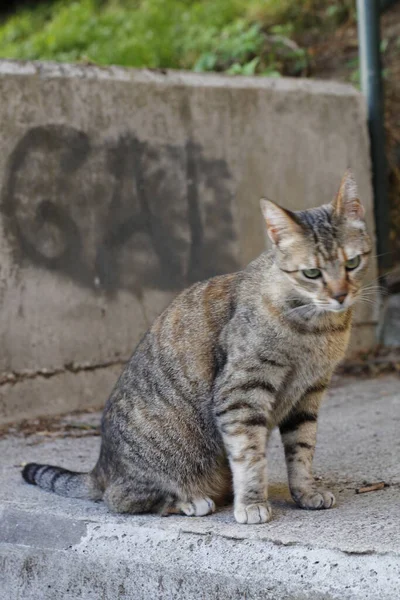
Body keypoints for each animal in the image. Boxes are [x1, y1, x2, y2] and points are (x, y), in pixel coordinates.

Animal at [21, 170, 372, 524]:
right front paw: (252, 503)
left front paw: (305, 493)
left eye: (352, 263)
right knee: (121, 499)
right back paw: (191, 501)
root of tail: (100, 467)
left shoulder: (308, 394)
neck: (319, 326)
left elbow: (302, 449)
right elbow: (249, 455)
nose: (340, 295)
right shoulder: (241, 393)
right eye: (311, 273)